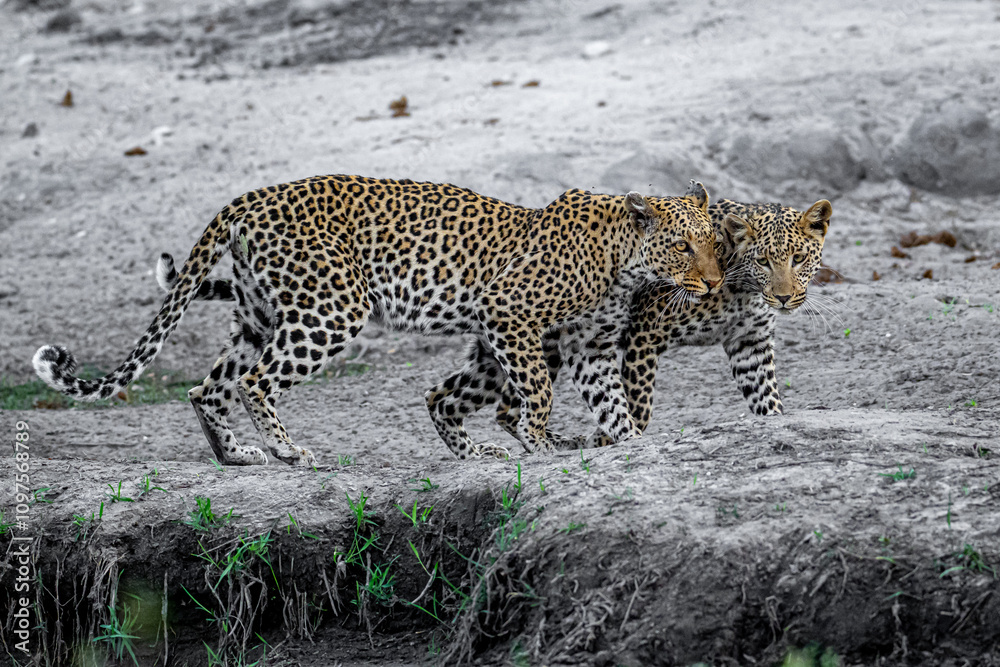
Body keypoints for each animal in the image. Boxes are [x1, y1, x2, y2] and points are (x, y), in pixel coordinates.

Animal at [33, 175, 722, 466]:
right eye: (682, 247)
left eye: (715, 242)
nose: (715, 281)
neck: (625, 264)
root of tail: (249, 196)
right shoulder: (509, 314)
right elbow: (537, 392)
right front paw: (542, 442)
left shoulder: (592, 347)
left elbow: (615, 406)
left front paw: (629, 445)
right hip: (333, 307)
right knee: (256, 381)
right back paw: (287, 449)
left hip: (259, 314)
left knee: (209, 386)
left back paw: (237, 456)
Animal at [490, 197, 833, 448]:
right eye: (763, 261)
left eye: (799, 258)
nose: (784, 297)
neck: (744, 291)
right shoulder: (644, 333)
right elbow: (637, 403)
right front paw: (606, 438)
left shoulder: (750, 343)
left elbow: (767, 399)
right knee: (513, 403)